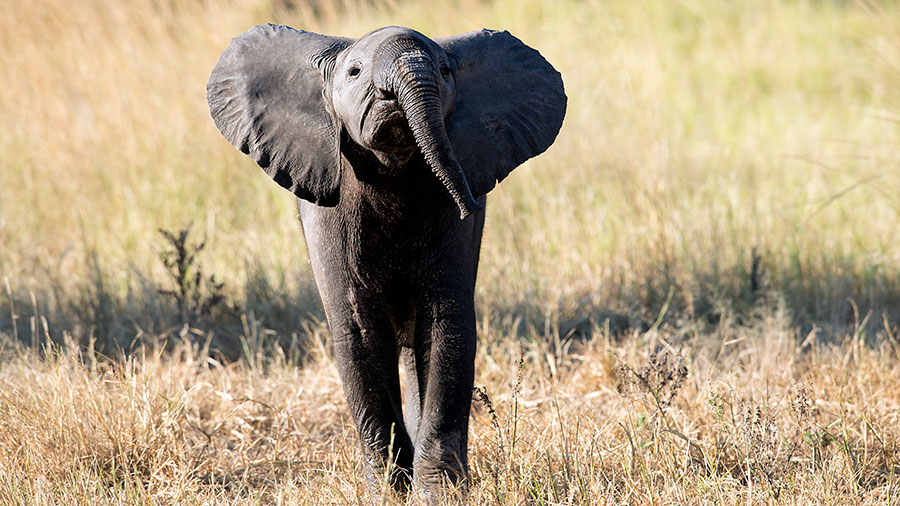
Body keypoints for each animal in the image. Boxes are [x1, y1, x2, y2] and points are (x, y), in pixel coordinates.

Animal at [207, 24, 568, 498]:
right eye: (354, 72)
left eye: (446, 70)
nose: (470, 206)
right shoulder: (329, 206)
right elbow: (361, 335)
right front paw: (388, 494)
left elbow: (446, 328)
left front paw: (438, 494)